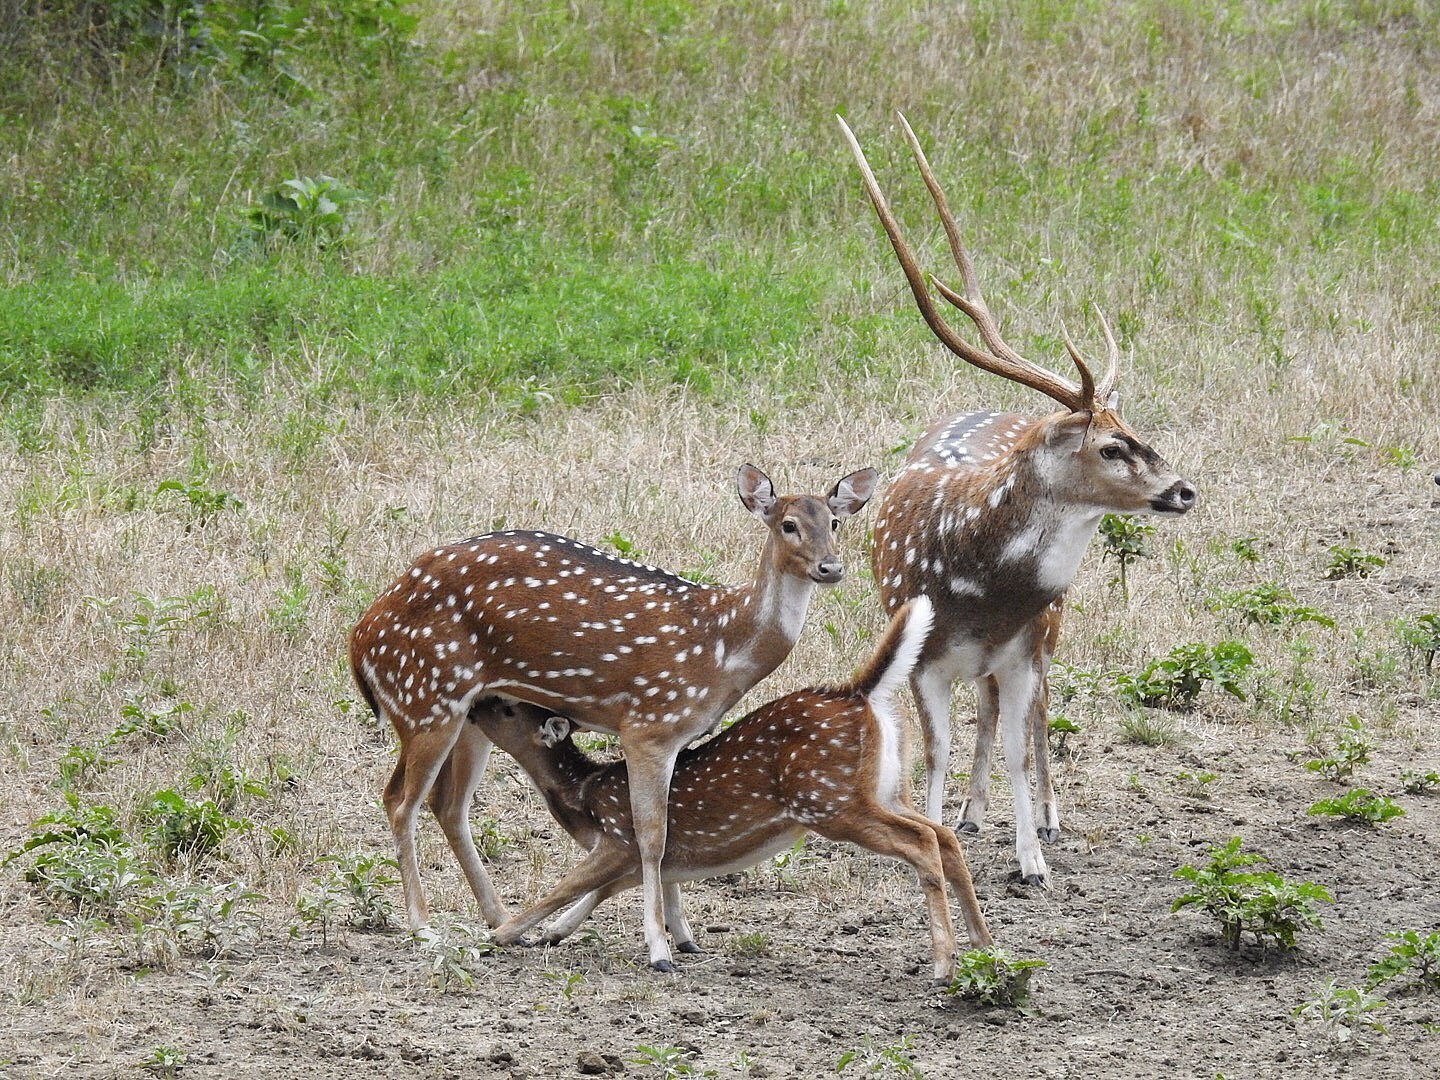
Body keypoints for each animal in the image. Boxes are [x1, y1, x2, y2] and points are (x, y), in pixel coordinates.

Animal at [348, 466, 875, 973]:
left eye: (834, 522)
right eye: (788, 524)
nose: (831, 567)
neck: (724, 648)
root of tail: (360, 638)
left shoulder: (681, 736)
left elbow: (666, 825)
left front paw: (684, 936)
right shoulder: (649, 723)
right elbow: (651, 837)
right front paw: (659, 949)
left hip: (468, 715)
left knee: (449, 805)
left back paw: (498, 919)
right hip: (425, 699)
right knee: (399, 801)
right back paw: (423, 926)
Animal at [478, 596, 996, 984]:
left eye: (508, 708)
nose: (479, 700)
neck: (582, 797)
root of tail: (858, 694)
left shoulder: (618, 835)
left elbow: (570, 883)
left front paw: (504, 934)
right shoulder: (660, 854)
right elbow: (615, 886)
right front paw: (555, 933)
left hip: (828, 801)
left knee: (923, 841)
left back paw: (944, 965)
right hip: (888, 789)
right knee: (945, 835)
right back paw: (985, 946)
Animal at [840, 112, 1198, 887]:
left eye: (1136, 429)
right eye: (1111, 446)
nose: (1183, 489)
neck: (981, 588)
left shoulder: (1024, 644)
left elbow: (1014, 745)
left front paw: (1032, 858)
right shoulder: (924, 650)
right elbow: (936, 749)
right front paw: (939, 837)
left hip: (1050, 631)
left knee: (1033, 715)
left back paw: (1050, 818)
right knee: (985, 709)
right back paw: (972, 814)